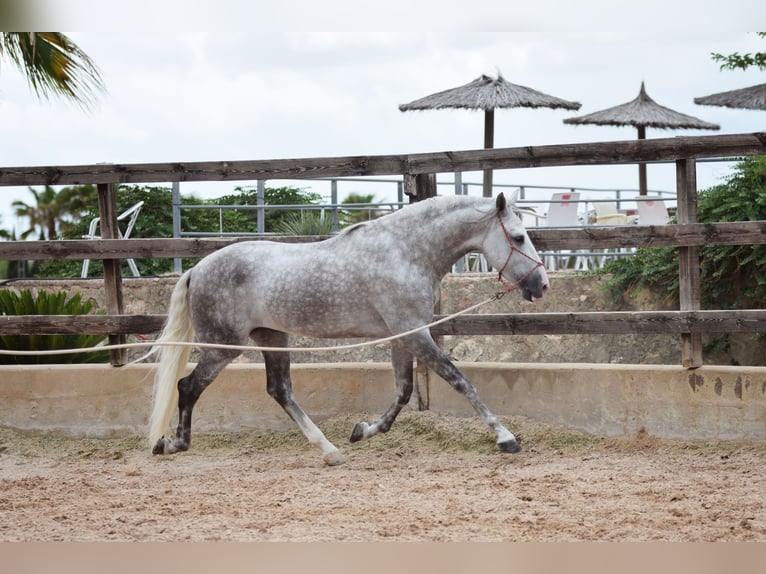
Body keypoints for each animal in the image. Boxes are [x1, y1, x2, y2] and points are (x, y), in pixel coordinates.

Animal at [148, 194, 544, 468]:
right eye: (519, 237)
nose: (541, 284)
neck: (405, 252)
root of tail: (196, 269)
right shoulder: (415, 333)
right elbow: (459, 380)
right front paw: (506, 438)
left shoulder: (404, 336)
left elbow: (403, 391)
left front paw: (362, 431)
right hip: (222, 346)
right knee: (188, 386)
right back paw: (170, 443)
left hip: (271, 337)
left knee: (280, 390)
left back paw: (331, 451)